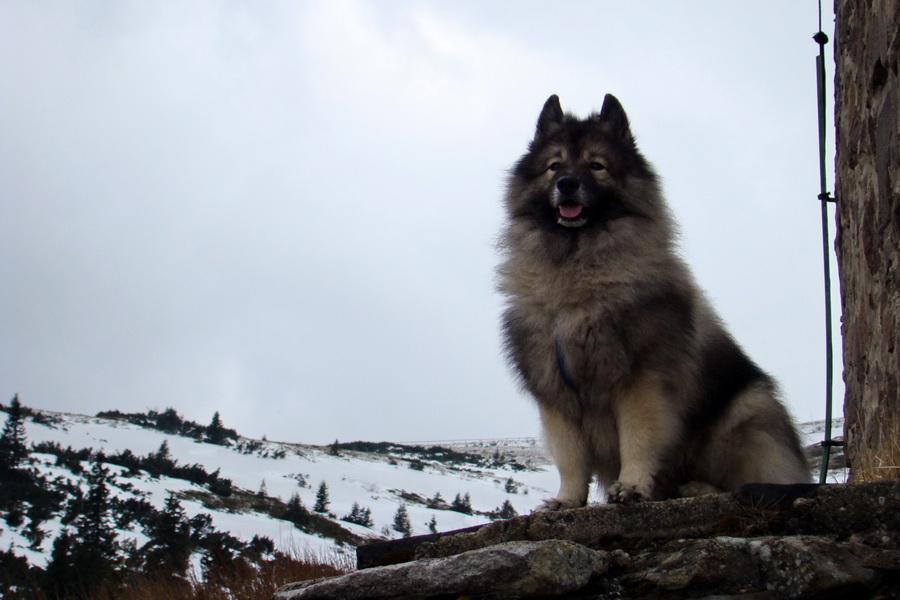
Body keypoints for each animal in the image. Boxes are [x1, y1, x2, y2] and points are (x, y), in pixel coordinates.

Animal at [496, 94, 812, 506]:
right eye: (554, 165)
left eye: (596, 165)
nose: (567, 183)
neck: (576, 277)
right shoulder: (555, 392)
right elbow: (570, 457)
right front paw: (567, 500)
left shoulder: (640, 380)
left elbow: (638, 438)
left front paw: (631, 486)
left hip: (748, 410)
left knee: (751, 476)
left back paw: (698, 487)